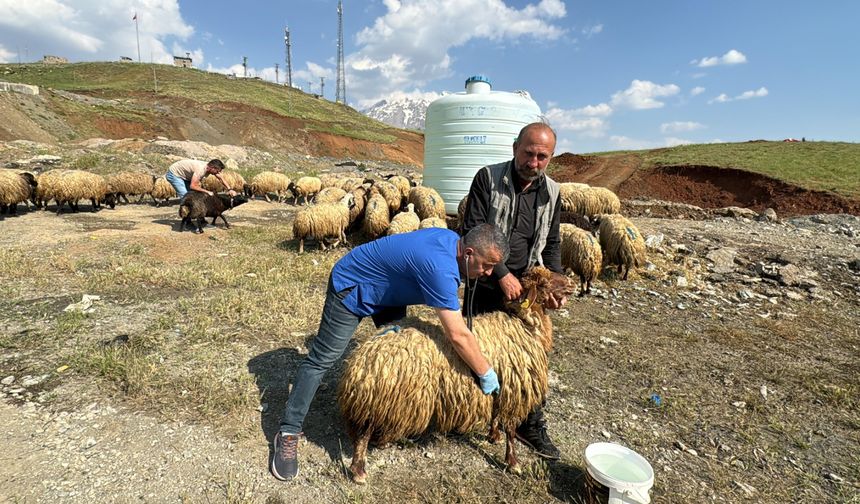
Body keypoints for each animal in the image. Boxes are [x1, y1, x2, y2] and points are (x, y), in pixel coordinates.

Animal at [338, 266, 576, 482]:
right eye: (544, 282)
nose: (571, 283)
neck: (523, 324)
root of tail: (361, 361)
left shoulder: (502, 386)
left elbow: (495, 414)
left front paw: (494, 436)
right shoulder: (515, 389)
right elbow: (510, 428)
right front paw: (513, 463)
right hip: (382, 397)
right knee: (364, 432)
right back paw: (359, 471)